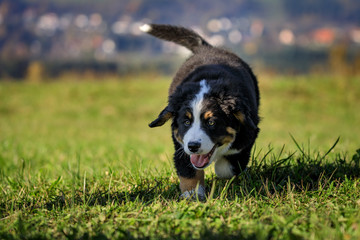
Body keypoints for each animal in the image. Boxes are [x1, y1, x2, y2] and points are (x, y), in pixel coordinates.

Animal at [139, 23, 260, 201]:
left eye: (211, 122)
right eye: (186, 122)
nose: (194, 146)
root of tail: (207, 48)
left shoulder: (248, 135)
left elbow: (227, 167)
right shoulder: (181, 144)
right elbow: (189, 171)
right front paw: (192, 196)